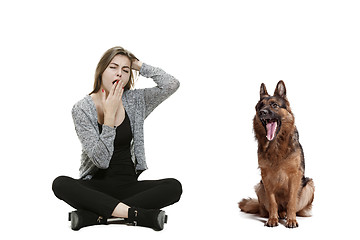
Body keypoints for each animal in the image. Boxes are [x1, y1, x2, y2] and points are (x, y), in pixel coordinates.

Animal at [239, 81, 316, 229]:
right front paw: (272, 219)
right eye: (260, 106)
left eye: (274, 105)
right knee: (270, 208)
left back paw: (288, 214)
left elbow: (291, 201)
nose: (262, 112)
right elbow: (272, 201)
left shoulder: (295, 175)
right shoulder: (266, 176)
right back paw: (279, 214)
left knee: (297, 208)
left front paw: (291, 220)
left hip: (309, 184)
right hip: (259, 187)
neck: (276, 146)